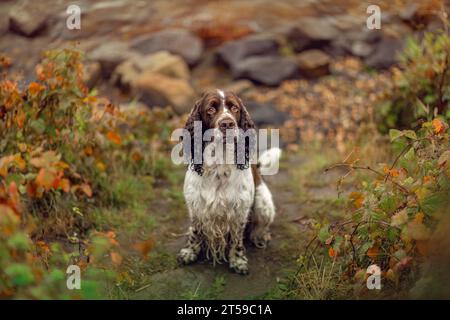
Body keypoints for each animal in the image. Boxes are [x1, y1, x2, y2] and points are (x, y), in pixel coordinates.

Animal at [178, 89, 280, 276]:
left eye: (234, 108)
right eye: (211, 109)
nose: (227, 123)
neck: (219, 166)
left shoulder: (240, 209)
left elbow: (237, 238)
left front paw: (238, 261)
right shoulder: (195, 205)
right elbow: (195, 231)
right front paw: (189, 252)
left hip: (263, 204)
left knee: (260, 227)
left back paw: (260, 236)